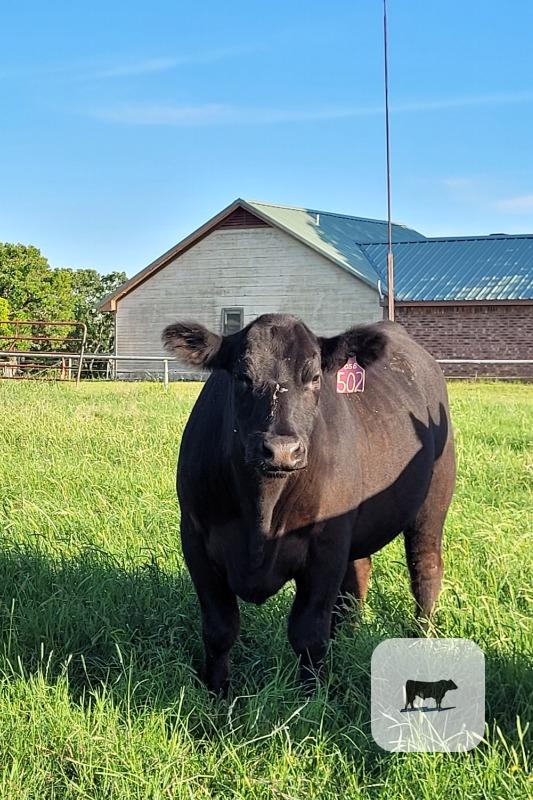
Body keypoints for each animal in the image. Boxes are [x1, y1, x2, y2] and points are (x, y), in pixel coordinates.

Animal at [162, 314, 456, 693]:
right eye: (242, 376)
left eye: (315, 377)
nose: (281, 450)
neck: (260, 514)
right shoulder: (195, 538)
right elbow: (219, 628)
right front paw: (217, 692)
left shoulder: (326, 548)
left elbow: (309, 634)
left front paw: (309, 698)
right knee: (357, 578)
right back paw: (348, 638)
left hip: (433, 501)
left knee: (426, 569)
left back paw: (422, 638)